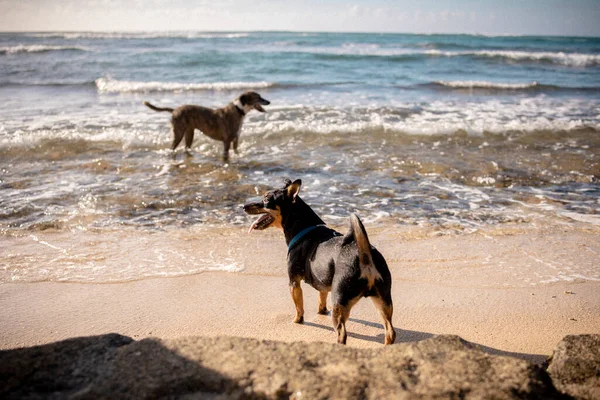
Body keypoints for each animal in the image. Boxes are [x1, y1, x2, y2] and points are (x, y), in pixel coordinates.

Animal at [241, 178, 396, 344]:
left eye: (266, 199)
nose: (243, 206)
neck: (303, 227)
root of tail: (365, 255)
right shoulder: (323, 281)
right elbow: (321, 297)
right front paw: (322, 311)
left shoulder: (293, 283)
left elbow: (299, 307)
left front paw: (297, 321)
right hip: (383, 300)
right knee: (390, 331)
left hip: (340, 301)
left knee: (342, 332)